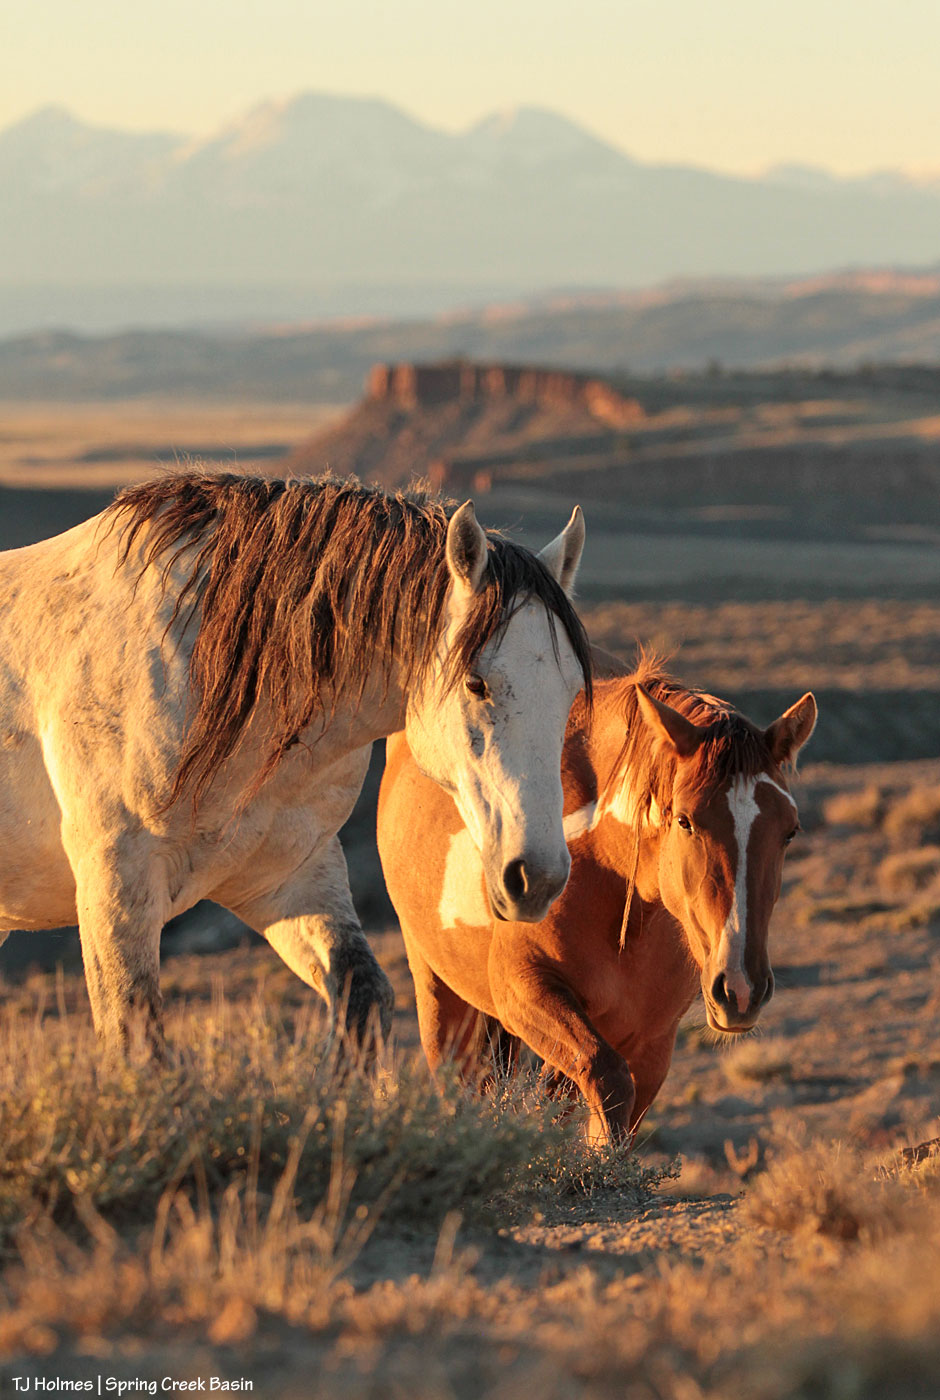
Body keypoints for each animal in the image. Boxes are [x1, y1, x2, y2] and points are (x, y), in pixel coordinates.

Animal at [0, 471, 592, 1056]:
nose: (537, 879)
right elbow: (134, 1040)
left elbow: (362, 1000)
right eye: (476, 683)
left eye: (568, 694)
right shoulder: (116, 882)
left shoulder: (288, 875)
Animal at [378, 656, 817, 1142]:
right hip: (439, 991)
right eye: (684, 820)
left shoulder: (651, 1046)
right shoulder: (522, 987)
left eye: (790, 830)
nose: (741, 989)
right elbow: (604, 1079)